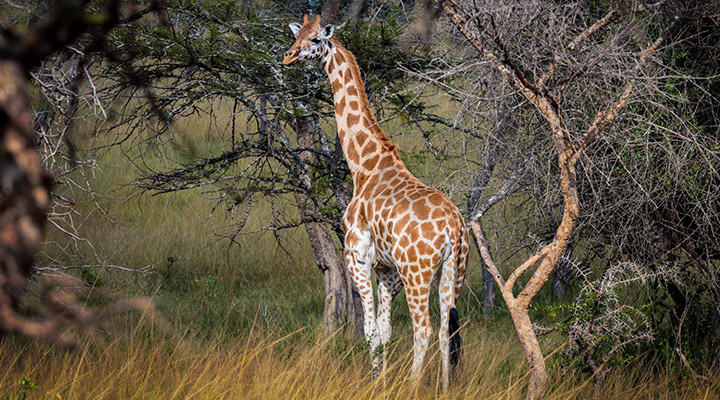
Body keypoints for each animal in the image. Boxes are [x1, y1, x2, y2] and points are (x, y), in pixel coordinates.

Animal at [282, 14, 466, 390]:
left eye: (316, 39)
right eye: (297, 35)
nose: (288, 57)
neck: (365, 166)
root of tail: (455, 227)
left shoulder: (358, 258)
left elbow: (369, 330)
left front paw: (374, 384)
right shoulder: (387, 270)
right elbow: (383, 332)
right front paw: (378, 381)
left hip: (417, 272)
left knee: (424, 329)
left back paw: (412, 387)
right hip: (453, 271)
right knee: (446, 329)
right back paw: (444, 388)